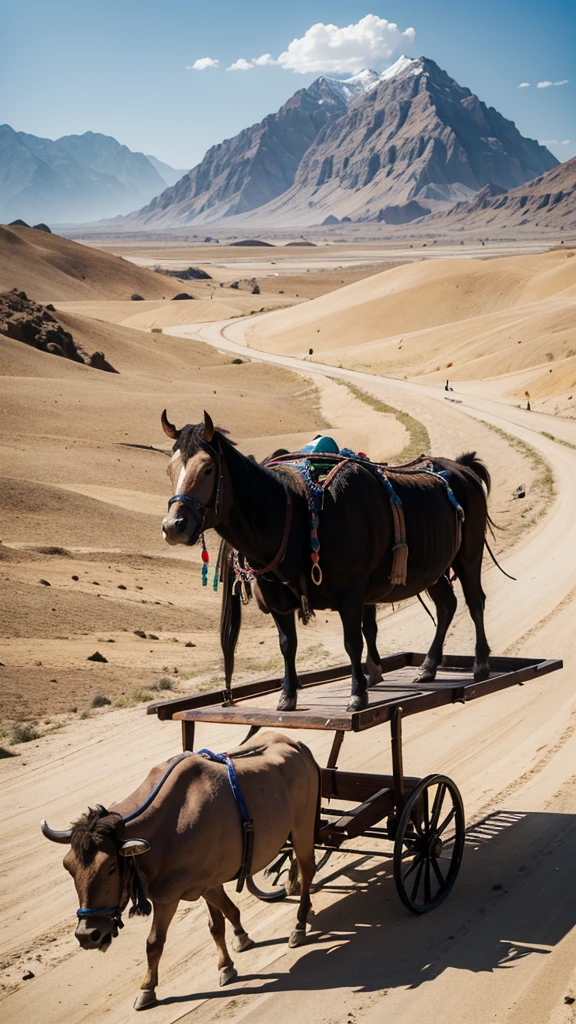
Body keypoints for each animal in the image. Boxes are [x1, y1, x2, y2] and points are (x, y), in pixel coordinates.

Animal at [159, 409, 487, 712]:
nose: (174, 525)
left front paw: (357, 694)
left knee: (474, 601)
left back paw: (480, 663)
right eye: (170, 469)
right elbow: (287, 644)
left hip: (468, 557)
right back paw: (428, 667)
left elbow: (353, 641)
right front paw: (287, 696)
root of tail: (463, 468)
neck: (296, 513)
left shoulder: (351, 595)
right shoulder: (278, 603)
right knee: (447, 605)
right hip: (435, 569)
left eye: (208, 468)